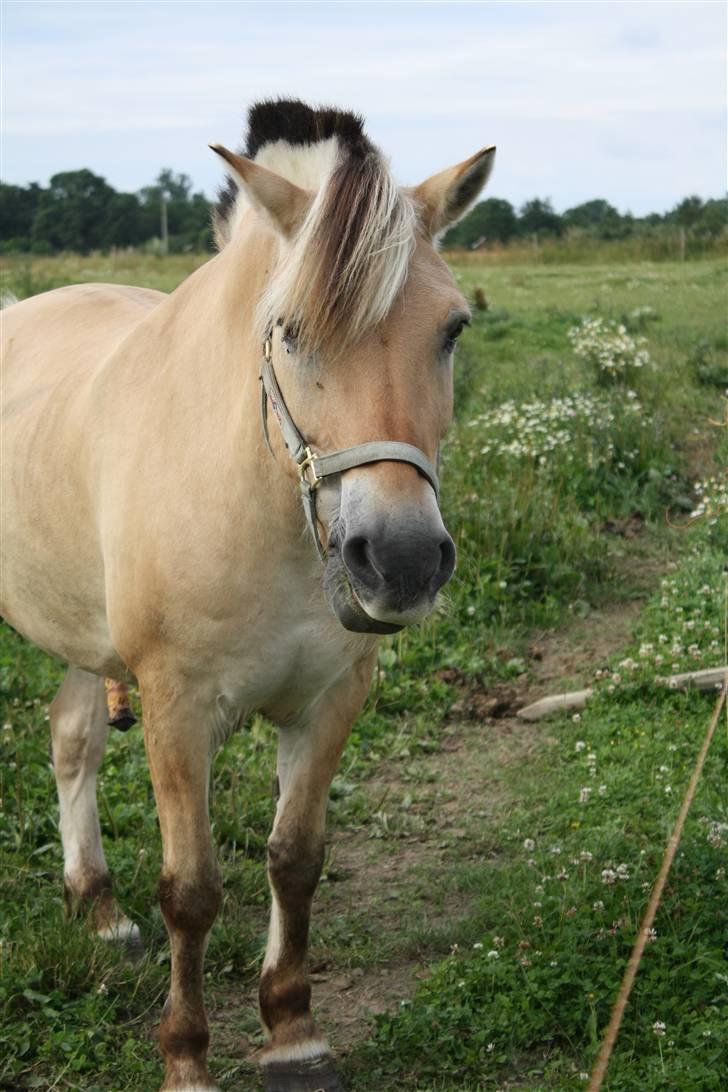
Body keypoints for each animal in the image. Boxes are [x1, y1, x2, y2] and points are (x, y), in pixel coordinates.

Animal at [1, 98, 495, 1087]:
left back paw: (99, 909)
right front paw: (187, 1057)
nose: (400, 559)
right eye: (289, 331)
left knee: (72, 740)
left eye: (453, 329)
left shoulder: (332, 697)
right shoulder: (176, 708)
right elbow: (192, 891)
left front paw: (293, 1033)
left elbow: (295, 860)